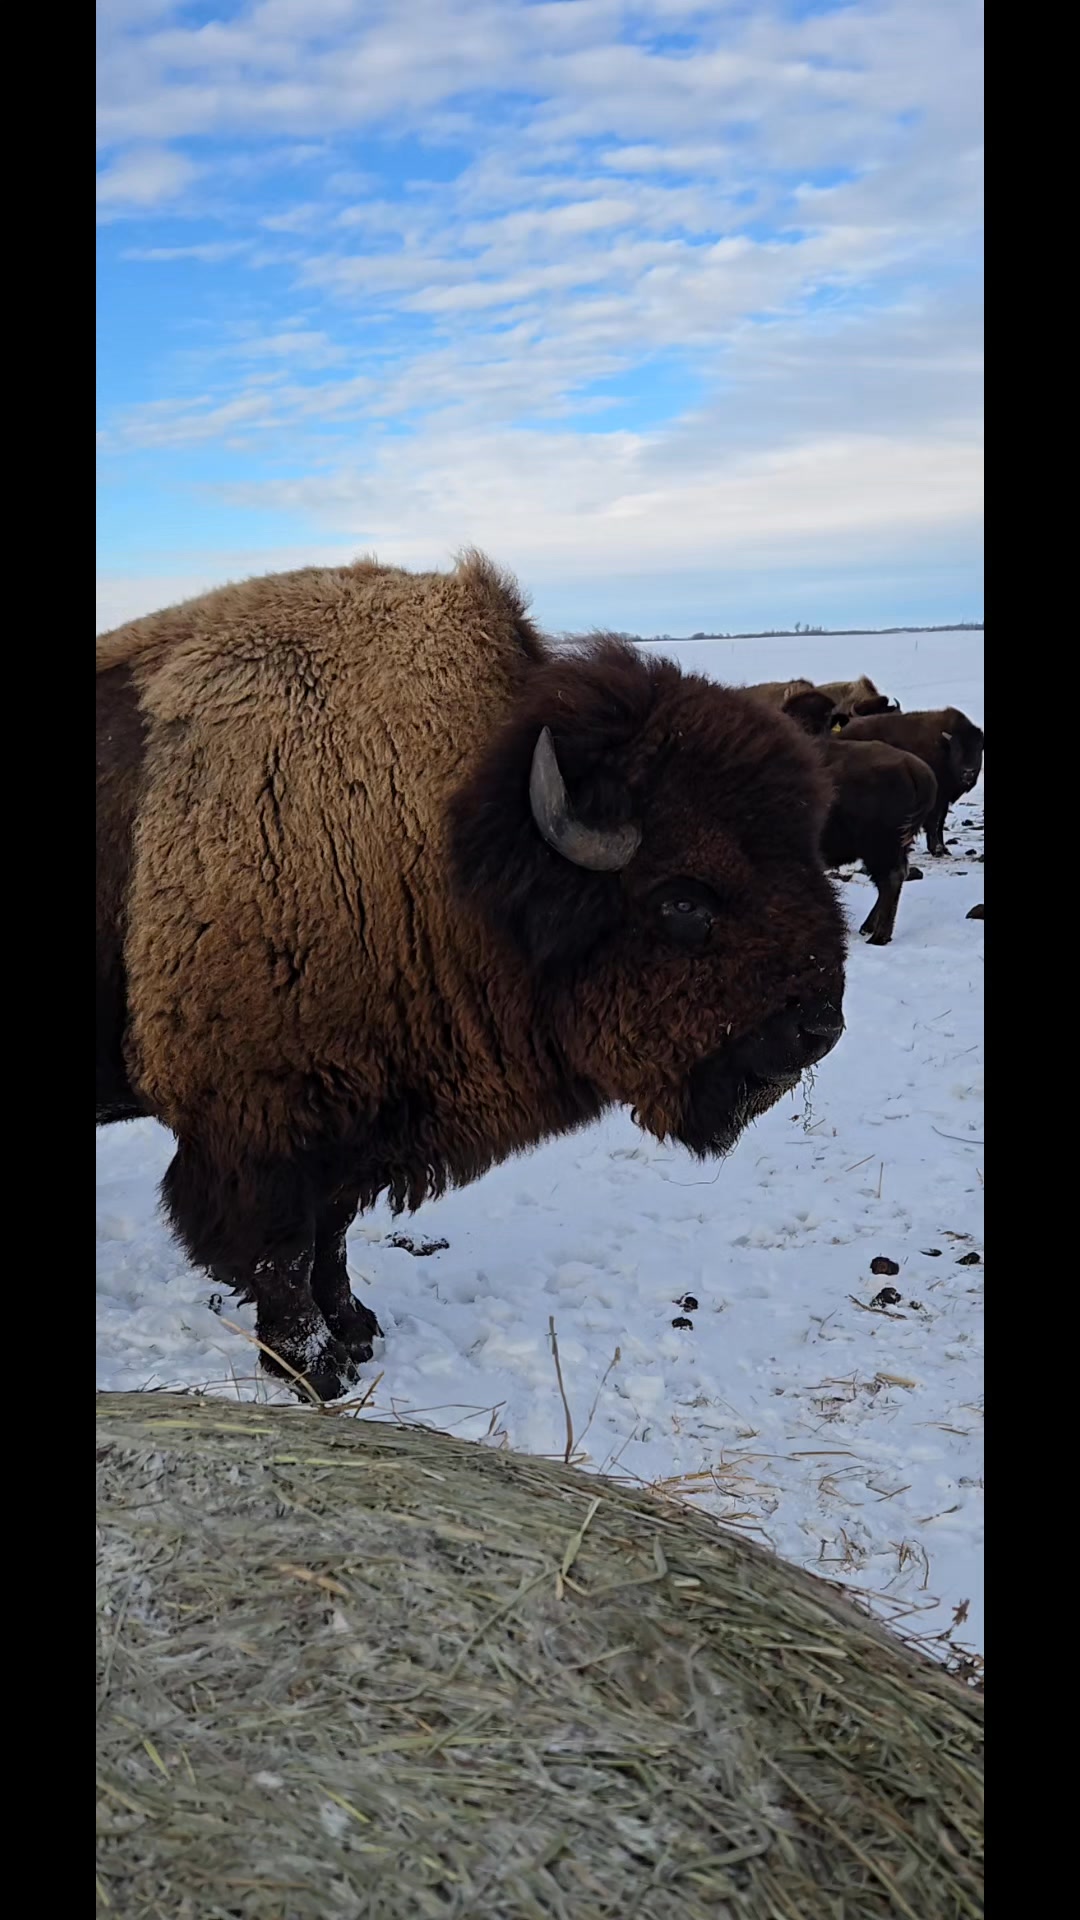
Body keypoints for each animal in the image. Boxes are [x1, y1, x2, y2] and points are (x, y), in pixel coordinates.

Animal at [97, 554, 847, 1401]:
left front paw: (357, 1330)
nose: (817, 1027)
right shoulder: (261, 1122)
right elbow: (284, 1251)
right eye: (684, 901)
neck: (450, 837)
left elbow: (332, 1235)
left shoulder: (354, 1117)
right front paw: (316, 1368)